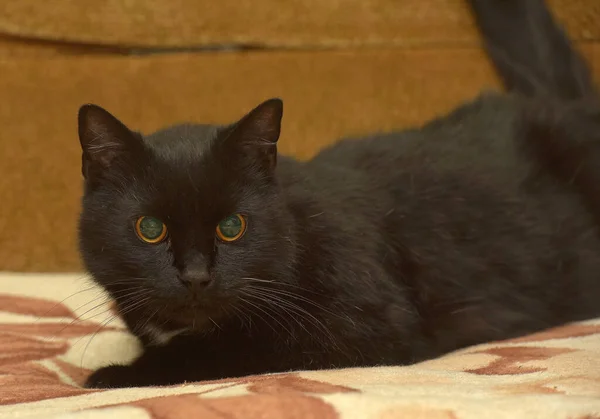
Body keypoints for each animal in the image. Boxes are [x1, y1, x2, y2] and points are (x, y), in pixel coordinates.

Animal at [79, 0, 600, 390]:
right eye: (149, 229)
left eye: (232, 227)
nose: (195, 277)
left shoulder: (365, 325)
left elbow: (230, 345)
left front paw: (114, 375)